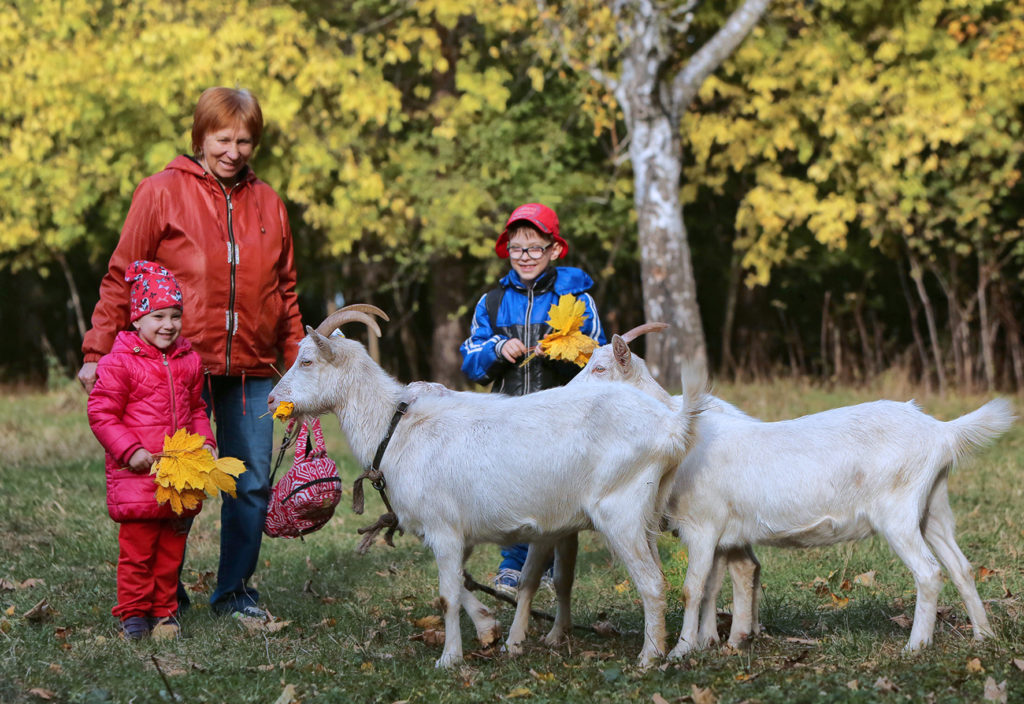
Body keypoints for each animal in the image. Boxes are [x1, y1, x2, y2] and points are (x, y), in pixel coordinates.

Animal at [268, 306, 704, 667]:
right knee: (659, 575)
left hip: (619, 511)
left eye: (306, 360)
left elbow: (446, 595)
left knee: (651, 582)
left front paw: (449, 659)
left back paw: (649, 657)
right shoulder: (453, 534)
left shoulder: (443, 528)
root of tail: (671, 427)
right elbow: (461, 583)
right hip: (644, 514)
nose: (272, 399)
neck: (396, 429)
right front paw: (488, 628)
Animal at [573, 327, 1011, 658]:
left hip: (898, 512)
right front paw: (716, 641)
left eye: (600, 367)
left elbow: (693, 588)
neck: (683, 436)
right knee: (960, 566)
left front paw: (682, 651)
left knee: (929, 572)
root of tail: (942, 432)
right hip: (934, 506)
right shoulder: (723, 531)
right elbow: (715, 584)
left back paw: (916, 646)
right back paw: (983, 636)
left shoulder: (702, 525)